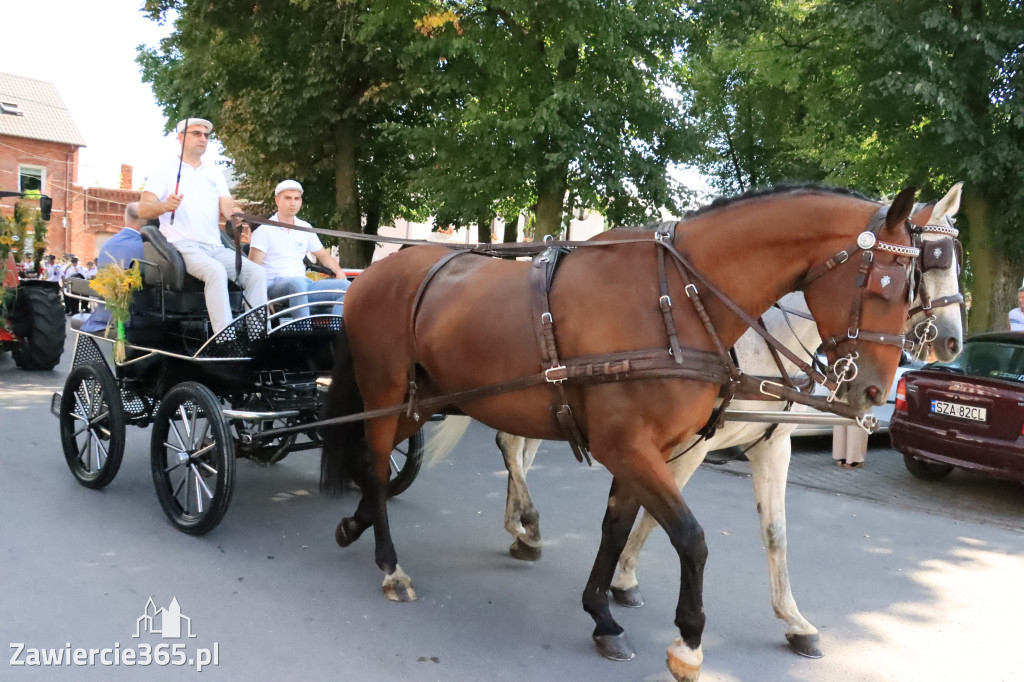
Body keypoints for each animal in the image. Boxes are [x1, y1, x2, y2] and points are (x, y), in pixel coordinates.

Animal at [323, 183, 917, 675]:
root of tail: (374, 273)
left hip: (421, 398)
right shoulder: (629, 447)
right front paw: (688, 642)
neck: (676, 299)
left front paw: (602, 613)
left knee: (376, 460)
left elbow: (617, 527)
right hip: (385, 391)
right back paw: (390, 564)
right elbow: (690, 537)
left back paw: (358, 525)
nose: (873, 391)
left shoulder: (647, 449)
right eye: (886, 285)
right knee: (376, 461)